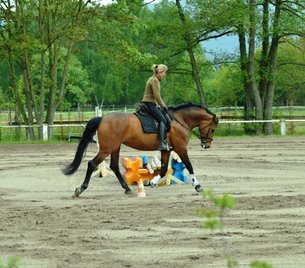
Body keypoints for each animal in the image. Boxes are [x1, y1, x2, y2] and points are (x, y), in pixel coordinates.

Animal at [62, 101, 218, 196]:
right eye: (213, 129)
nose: (206, 144)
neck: (180, 120)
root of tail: (103, 118)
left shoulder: (166, 150)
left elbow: (163, 169)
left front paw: (153, 182)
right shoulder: (180, 148)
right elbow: (189, 165)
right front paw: (197, 185)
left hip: (115, 147)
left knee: (114, 166)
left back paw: (127, 189)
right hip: (106, 148)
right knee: (92, 164)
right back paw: (81, 189)